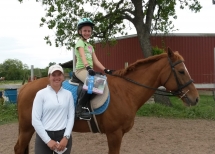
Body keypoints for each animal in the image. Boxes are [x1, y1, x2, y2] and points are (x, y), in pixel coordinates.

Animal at [13, 47, 198, 153]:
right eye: (181, 71)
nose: (195, 99)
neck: (126, 91)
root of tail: (25, 88)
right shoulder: (114, 134)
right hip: (28, 128)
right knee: (19, 148)